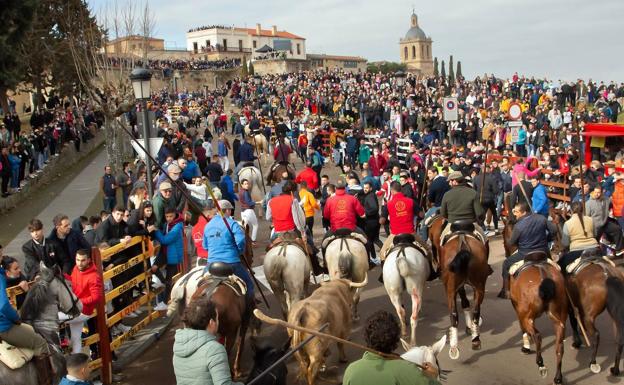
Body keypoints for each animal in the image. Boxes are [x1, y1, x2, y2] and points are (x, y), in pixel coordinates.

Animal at [510, 252, 568, 384]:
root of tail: (543, 275)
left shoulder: (518, 309)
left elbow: (523, 328)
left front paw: (526, 347)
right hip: (559, 319)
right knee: (559, 346)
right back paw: (558, 377)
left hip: (527, 316)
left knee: (537, 335)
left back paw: (541, 364)